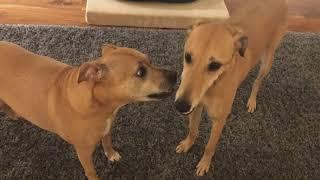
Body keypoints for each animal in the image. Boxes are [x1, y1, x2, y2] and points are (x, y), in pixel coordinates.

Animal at [0, 41, 178, 179]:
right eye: (140, 72)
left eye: (150, 60)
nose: (175, 74)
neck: (101, 107)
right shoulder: (83, 152)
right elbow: (91, 171)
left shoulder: (107, 129)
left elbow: (107, 142)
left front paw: (111, 154)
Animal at [174, 0, 288, 176]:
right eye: (188, 56)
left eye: (215, 65)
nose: (180, 106)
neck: (214, 84)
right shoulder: (196, 107)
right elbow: (192, 130)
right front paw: (187, 144)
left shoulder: (219, 121)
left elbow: (210, 146)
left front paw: (204, 163)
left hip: (267, 61)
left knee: (257, 82)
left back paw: (252, 100)